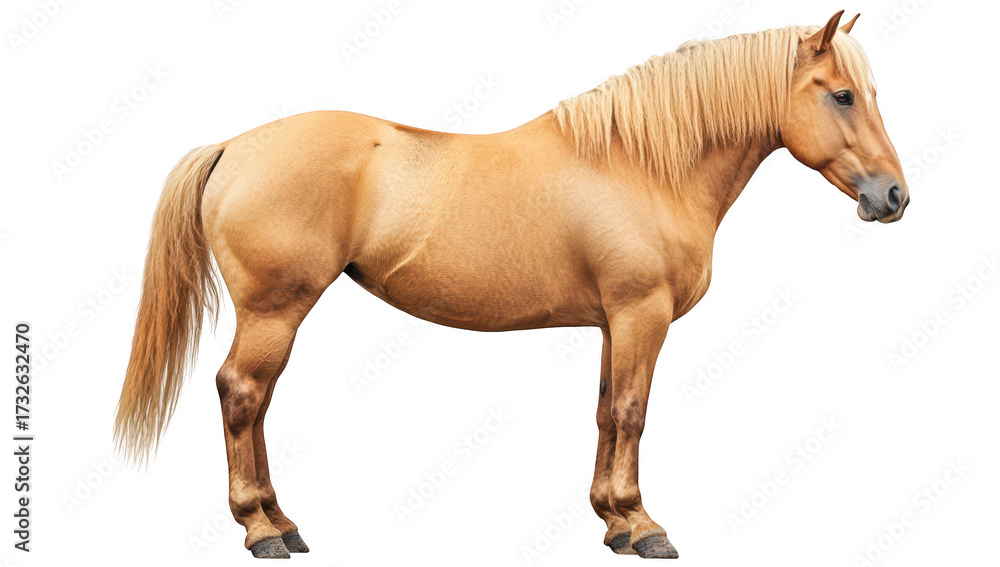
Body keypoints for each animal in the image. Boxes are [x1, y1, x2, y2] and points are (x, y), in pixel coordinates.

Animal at [115, 11, 908, 559]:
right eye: (842, 95)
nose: (895, 196)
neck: (643, 165)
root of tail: (233, 146)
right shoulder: (641, 314)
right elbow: (632, 413)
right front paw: (643, 525)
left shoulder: (614, 322)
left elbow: (605, 412)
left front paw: (611, 519)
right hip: (275, 309)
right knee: (242, 393)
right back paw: (262, 529)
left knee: (254, 399)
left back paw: (283, 520)